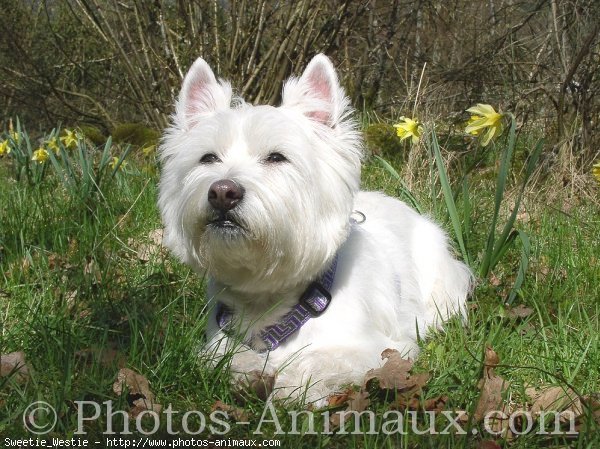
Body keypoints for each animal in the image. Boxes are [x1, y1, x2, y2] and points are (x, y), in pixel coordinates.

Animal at [159, 54, 474, 404]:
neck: (267, 297)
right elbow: (224, 358)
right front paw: (247, 369)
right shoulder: (217, 342)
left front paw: (290, 388)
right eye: (208, 158)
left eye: (277, 157)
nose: (222, 192)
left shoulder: (382, 348)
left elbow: (319, 359)